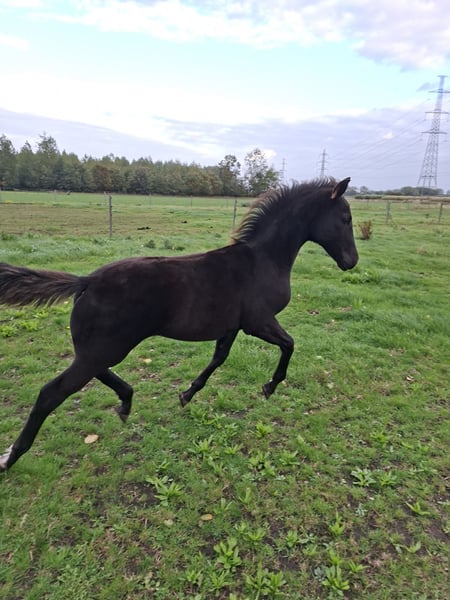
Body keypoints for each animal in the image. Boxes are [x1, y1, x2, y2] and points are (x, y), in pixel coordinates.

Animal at [0, 177, 358, 472]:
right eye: (345, 219)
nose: (351, 261)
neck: (263, 261)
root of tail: (85, 281)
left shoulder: (231, 326)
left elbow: (218, 359)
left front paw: (187, 395)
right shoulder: (259, 322)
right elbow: (289, 344)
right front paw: (269, 387)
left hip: (100, 350)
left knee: (94, 373)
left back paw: (126, 402)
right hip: (104, 349)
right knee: (51, 393)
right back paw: (11, 457)